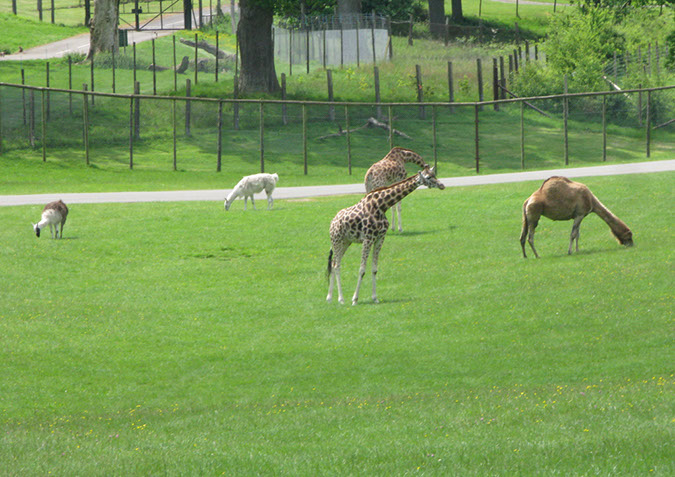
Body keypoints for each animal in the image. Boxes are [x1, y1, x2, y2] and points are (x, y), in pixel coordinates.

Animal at [326, 165, 446, 304]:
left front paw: (375, 298)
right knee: (337, 265)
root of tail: (332, 222)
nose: (442, 185)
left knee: (334, 263)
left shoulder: (380, 238)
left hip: (346, 242)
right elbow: (362, 269)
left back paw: (330, 297)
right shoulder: (368, 239)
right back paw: (341, 299)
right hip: (337, 240)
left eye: (434, 174)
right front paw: (355, 299)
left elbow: (374, 269)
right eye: (428, 177)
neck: (381, 206)